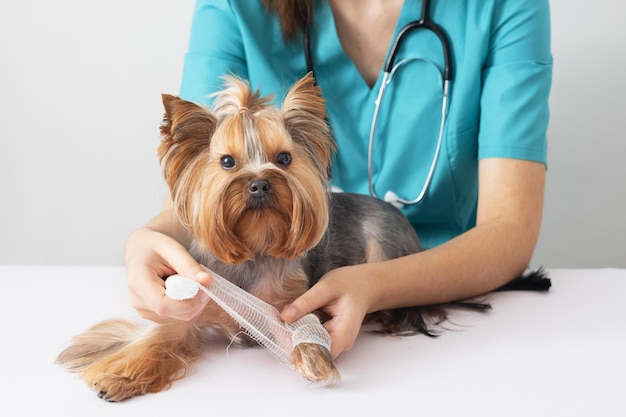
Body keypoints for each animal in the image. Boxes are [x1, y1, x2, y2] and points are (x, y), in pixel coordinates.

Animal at [57, 74, 544, 400]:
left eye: (284, 159)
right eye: (228, 162)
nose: (259, 184)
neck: (255, 245)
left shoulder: (290, 299)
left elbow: (297, 329)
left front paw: (312, 354)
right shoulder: (196, 306)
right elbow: (164, 333)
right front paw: (122, 374)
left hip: (384, 242)